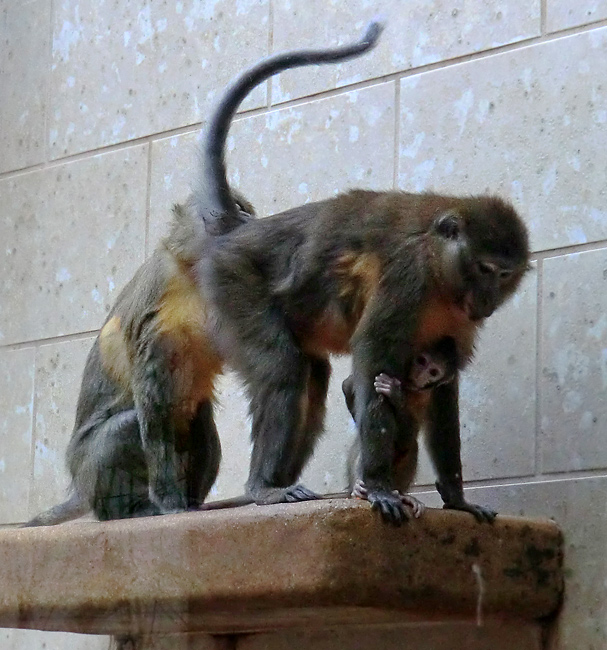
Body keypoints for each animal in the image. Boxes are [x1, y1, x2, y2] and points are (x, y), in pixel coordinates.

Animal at [26, 22, 384, 528]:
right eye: (237, 212)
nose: (238, 224)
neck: (189, 277)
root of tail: (78, 487)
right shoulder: (165, 321)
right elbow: (155, 407)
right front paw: (170, 503)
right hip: (96, 468)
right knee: (133, 424)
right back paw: (153, 507)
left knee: (207, 415)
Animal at [344, 336, 458, 520]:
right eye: (421, 361)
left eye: (433, 372)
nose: (420, 374)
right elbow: (348, 385)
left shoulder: (426, 395)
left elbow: (407, 437)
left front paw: (396, 395)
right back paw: (359, 490)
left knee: (410, 446)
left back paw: (401, 496)